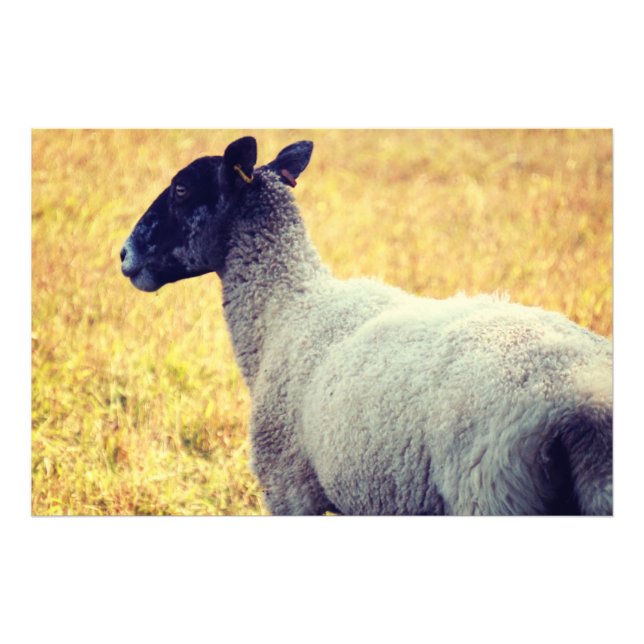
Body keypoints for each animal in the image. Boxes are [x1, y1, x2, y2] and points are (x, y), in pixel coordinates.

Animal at [120, 135, 613, 515]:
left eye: (181, 189)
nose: (123, 254)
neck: (282, 308)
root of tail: (583, 411)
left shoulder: (289, 488)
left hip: (492, 491)